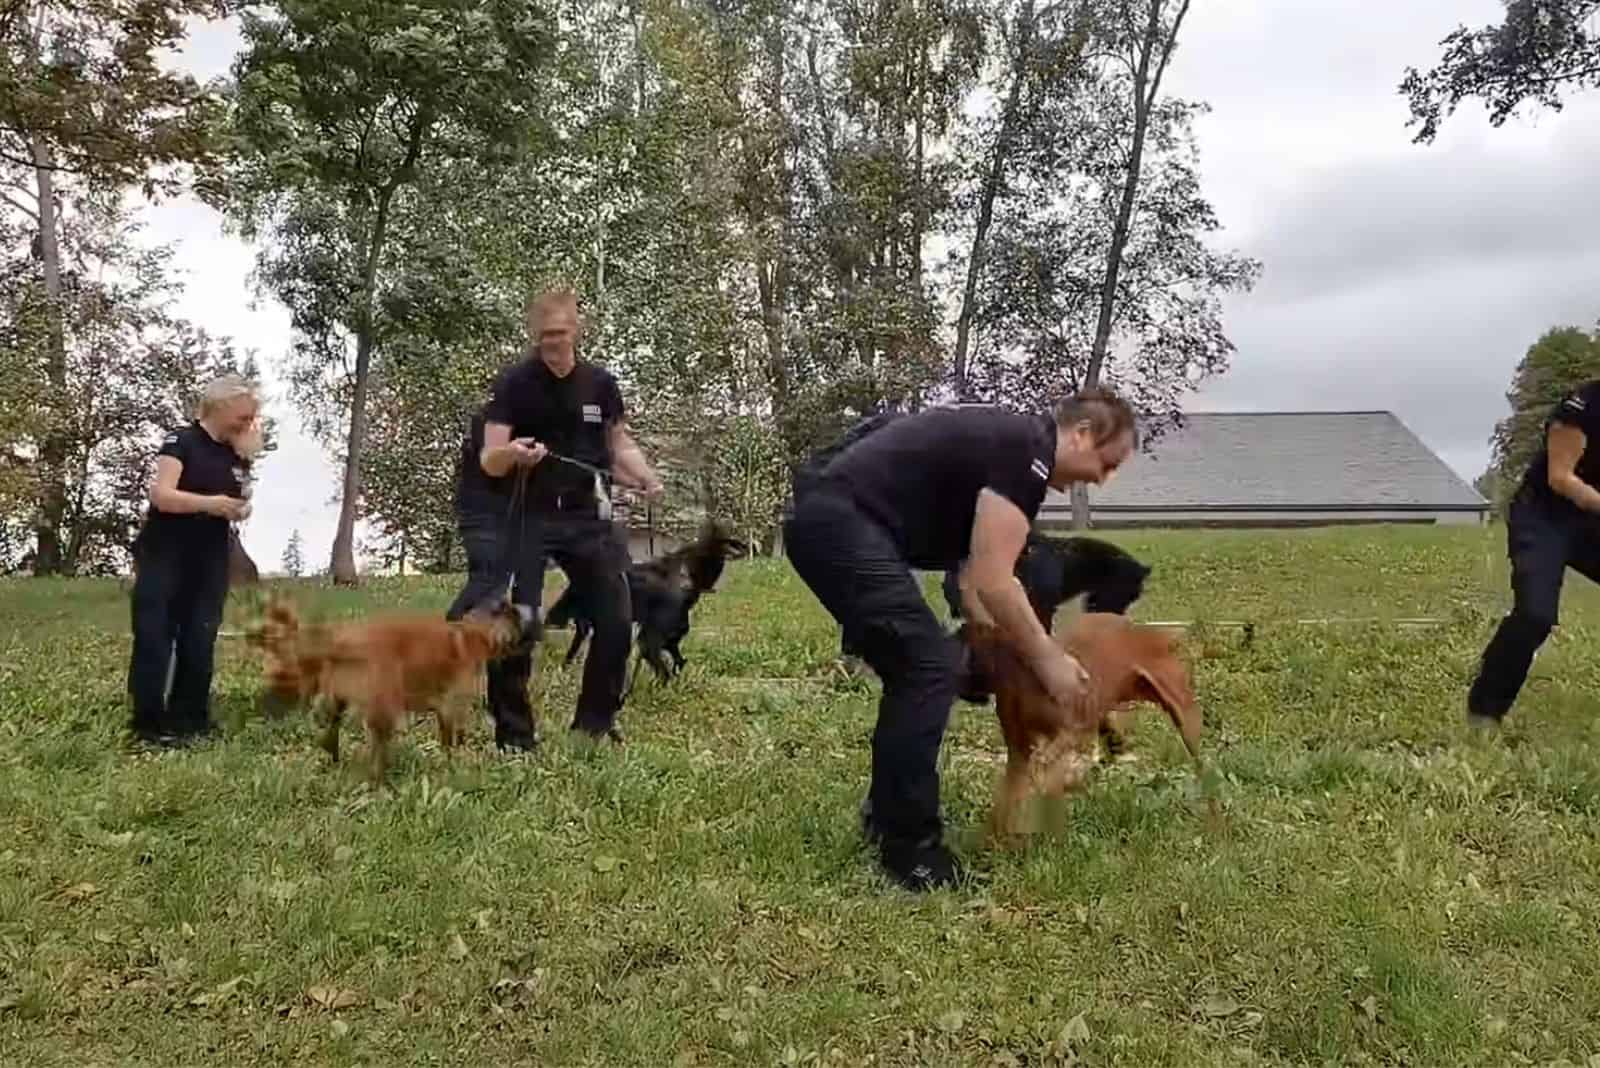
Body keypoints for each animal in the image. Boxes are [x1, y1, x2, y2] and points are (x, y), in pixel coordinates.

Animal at [240, 591, 534, 783]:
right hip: (385, 706)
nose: (533, 615)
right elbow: (451, 742)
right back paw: (381, 782)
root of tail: (340, 643)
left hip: (339, 702)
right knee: (377, 752)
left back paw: (336, 764)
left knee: (331, 735)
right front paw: (453, 768)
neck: (472, 632)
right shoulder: (451, 706)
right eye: (517, 616)